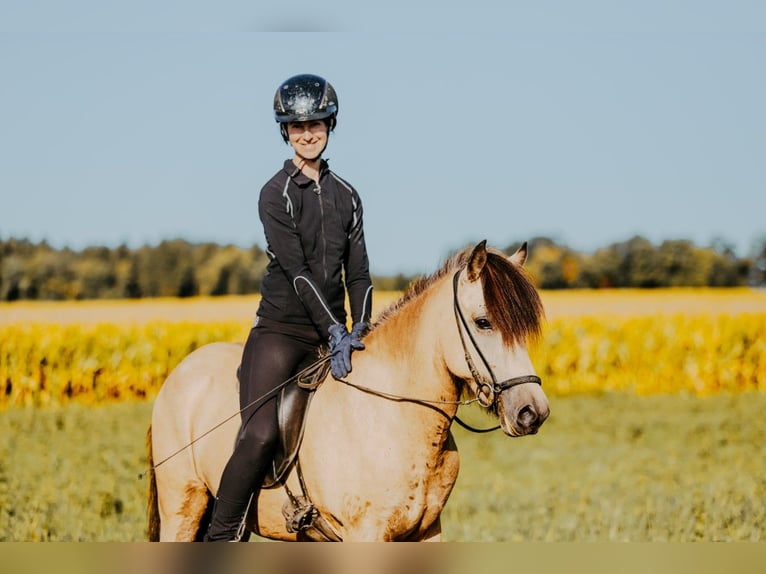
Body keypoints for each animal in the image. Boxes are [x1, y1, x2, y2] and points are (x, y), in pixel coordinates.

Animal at [146, 240, 550, 541]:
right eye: (483, 322)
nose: (532, 412)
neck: (396, 415)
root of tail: (181, 370)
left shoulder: (426, 531)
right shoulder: (365, 533)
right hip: (183, 506)